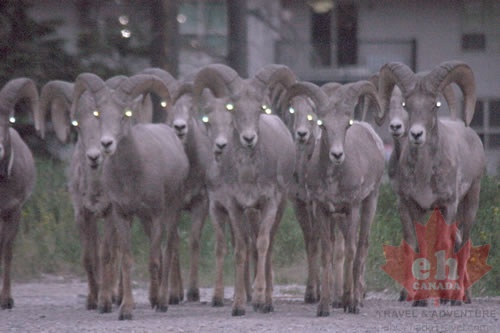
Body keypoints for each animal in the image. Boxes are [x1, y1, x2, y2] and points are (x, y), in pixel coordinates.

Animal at [70, 73, 188, 320]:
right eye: (99, 114)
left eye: (125, 114)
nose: (106, 144)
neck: (132, 175)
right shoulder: (122, 215)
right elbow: (125, 260)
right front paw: (125, 309)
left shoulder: (157, 215)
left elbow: (153, 259)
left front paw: (157, 302)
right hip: (143, 219)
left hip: (171, 211)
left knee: (169, 248)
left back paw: (163, 300)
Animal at [192, 63, 296, 316]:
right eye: (233, 108)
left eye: (259, 108)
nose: (249, 138)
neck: (248, 175)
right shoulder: (234, 207)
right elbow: (240, 250)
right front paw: (238, 305)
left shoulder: (269, 204)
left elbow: (262, 244)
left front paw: (259, 300)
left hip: (278, 208)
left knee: (268, 248)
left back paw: (267, 300)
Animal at [284, 80, 384, 314]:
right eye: (323, 125)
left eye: (346, 125)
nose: (337, 155)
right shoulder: (323, 209)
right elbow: (327, 253)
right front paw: (324, 306)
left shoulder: (352, 206)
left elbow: (351, 251)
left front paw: (351, 303)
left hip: (370, 202)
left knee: (361, 246)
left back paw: (356, 299)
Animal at [378, 61, 484, 304]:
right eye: (407, 104)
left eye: (435, 105)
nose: (416, 134)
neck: (424, 175)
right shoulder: (414, 206)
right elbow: (420, 245)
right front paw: (419, 299)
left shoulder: (448, 205)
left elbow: (442, 246)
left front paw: (445, 295)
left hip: (470, 201)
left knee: (463, 245)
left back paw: (460, 296)